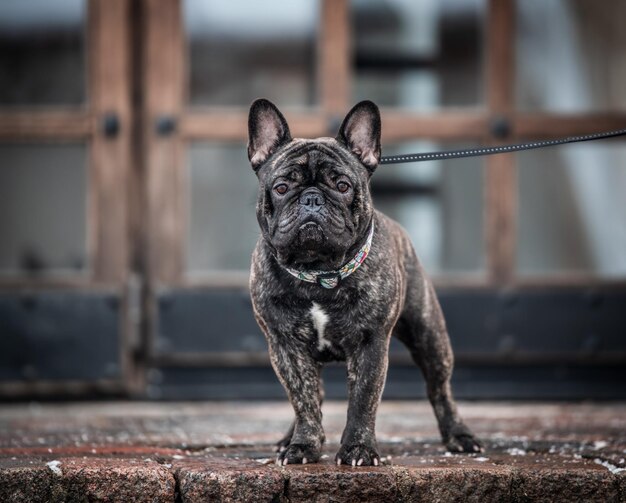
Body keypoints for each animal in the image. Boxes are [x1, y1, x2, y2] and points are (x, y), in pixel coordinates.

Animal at [246, 99, 480, 468]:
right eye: (282, 188)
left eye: (342, 186)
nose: (311, 199)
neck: (319, 273)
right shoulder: (285, 346)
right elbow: (303, 399)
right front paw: (303, 445)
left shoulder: (371, 344)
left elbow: (362, 400)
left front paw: (358, 450)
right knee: (313, 394)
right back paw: (289, 438)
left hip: (429, 336)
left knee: (440, 389)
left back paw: (459, 436)